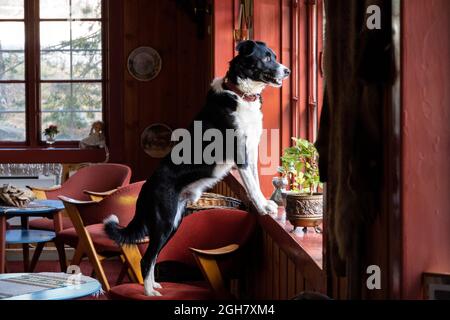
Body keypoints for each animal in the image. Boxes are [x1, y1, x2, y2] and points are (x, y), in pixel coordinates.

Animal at [104, 40, 290, 296]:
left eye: (274, 56)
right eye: (267, 58)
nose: (288, 71)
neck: (240, 93)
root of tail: (145, 191)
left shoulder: (251, 151)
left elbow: (254, 180)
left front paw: (264, 204)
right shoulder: (240, 153)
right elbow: (251, 185)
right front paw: (263, 207)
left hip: (174, 222)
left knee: (154, 256)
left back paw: (155, 285)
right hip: (163, 221)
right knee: (146, 258)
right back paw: (149, 292)